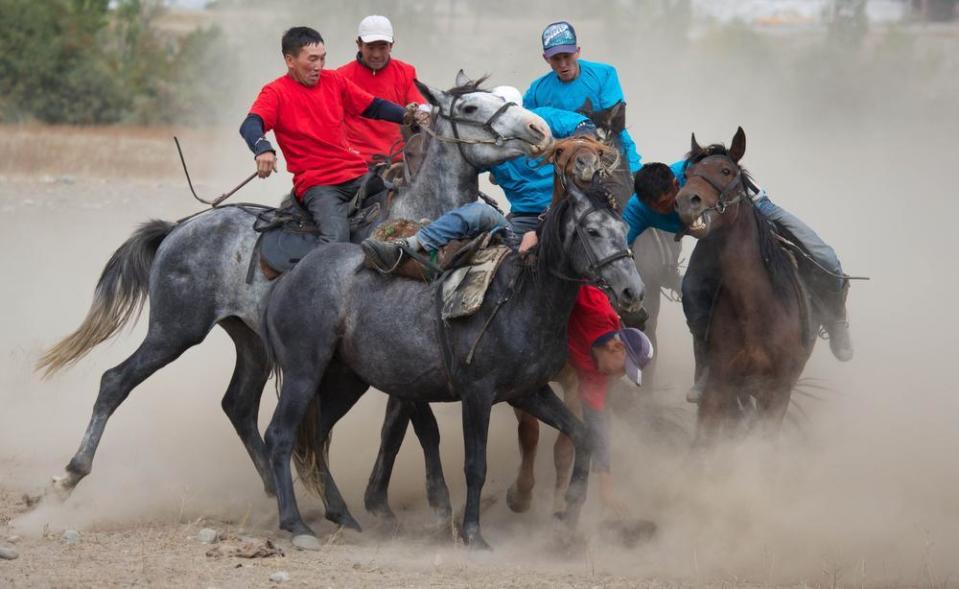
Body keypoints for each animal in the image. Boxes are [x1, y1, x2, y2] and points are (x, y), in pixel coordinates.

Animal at [33, 72, 552, 520]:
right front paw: (430, 499)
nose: (538, 128)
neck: (416, 226)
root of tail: (180, 228)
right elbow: (418, 423)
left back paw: (275, 488)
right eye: (469, 107)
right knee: (115, 381)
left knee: (238, 405)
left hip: (249, 341)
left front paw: (391, 498)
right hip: (175, 330)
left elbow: (399, 421)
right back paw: (69, 475)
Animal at [262, 136, 644, 548]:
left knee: (316, 437)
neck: (522, 296)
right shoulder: (477, 394)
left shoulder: (529, 392)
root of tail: (287, 278)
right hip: (304, 373)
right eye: (592, 230)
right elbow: (475, 465)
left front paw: (570, 512)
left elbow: (581, 435)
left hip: (344, 380)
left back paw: (343, 515)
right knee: (280, 436)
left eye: (623, 226)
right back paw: (296, 524)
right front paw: (473, 533)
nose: (632, 291)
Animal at [676, 127, 816, 440]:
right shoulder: (718, 387)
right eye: (688, 172)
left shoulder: (776, 395)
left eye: (726, 170)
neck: (755, 310)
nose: (685, 201)